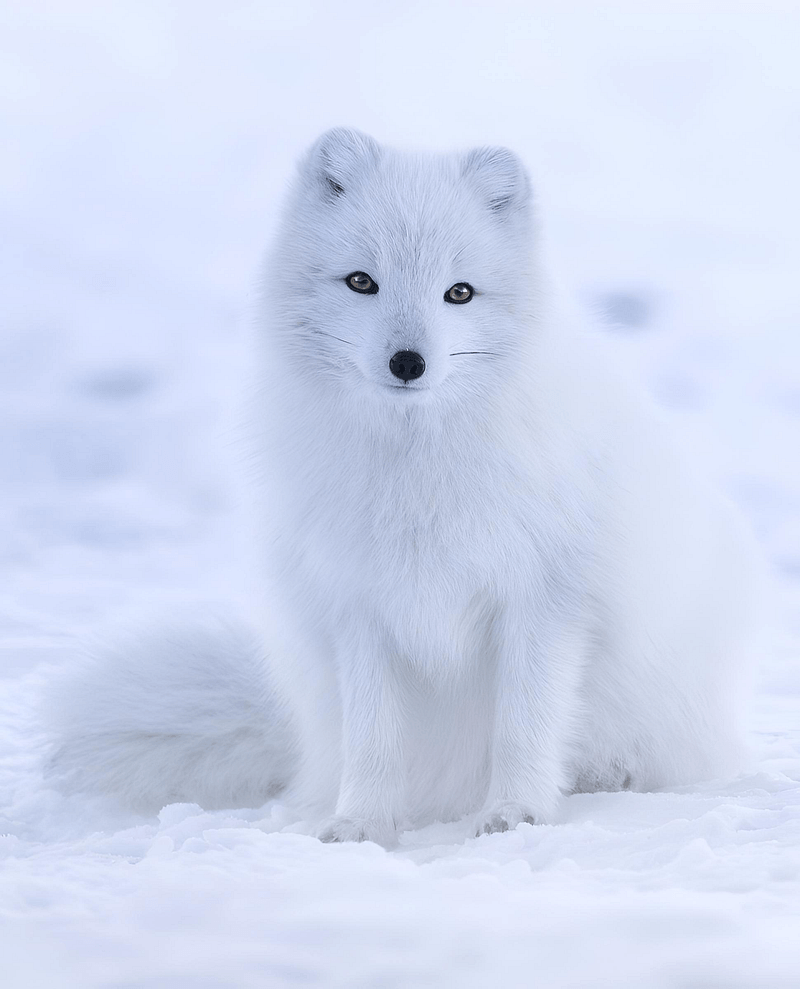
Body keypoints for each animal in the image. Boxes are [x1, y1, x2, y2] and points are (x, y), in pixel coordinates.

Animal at [46, 129, 760, 844]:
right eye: (362, 281)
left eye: (460, 293)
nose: (408, 362)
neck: (418, 470)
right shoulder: (360, 605)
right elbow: (375, 737)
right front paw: (361, 824)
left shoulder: (544, 600)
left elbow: (524, 726)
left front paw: (515, 814)